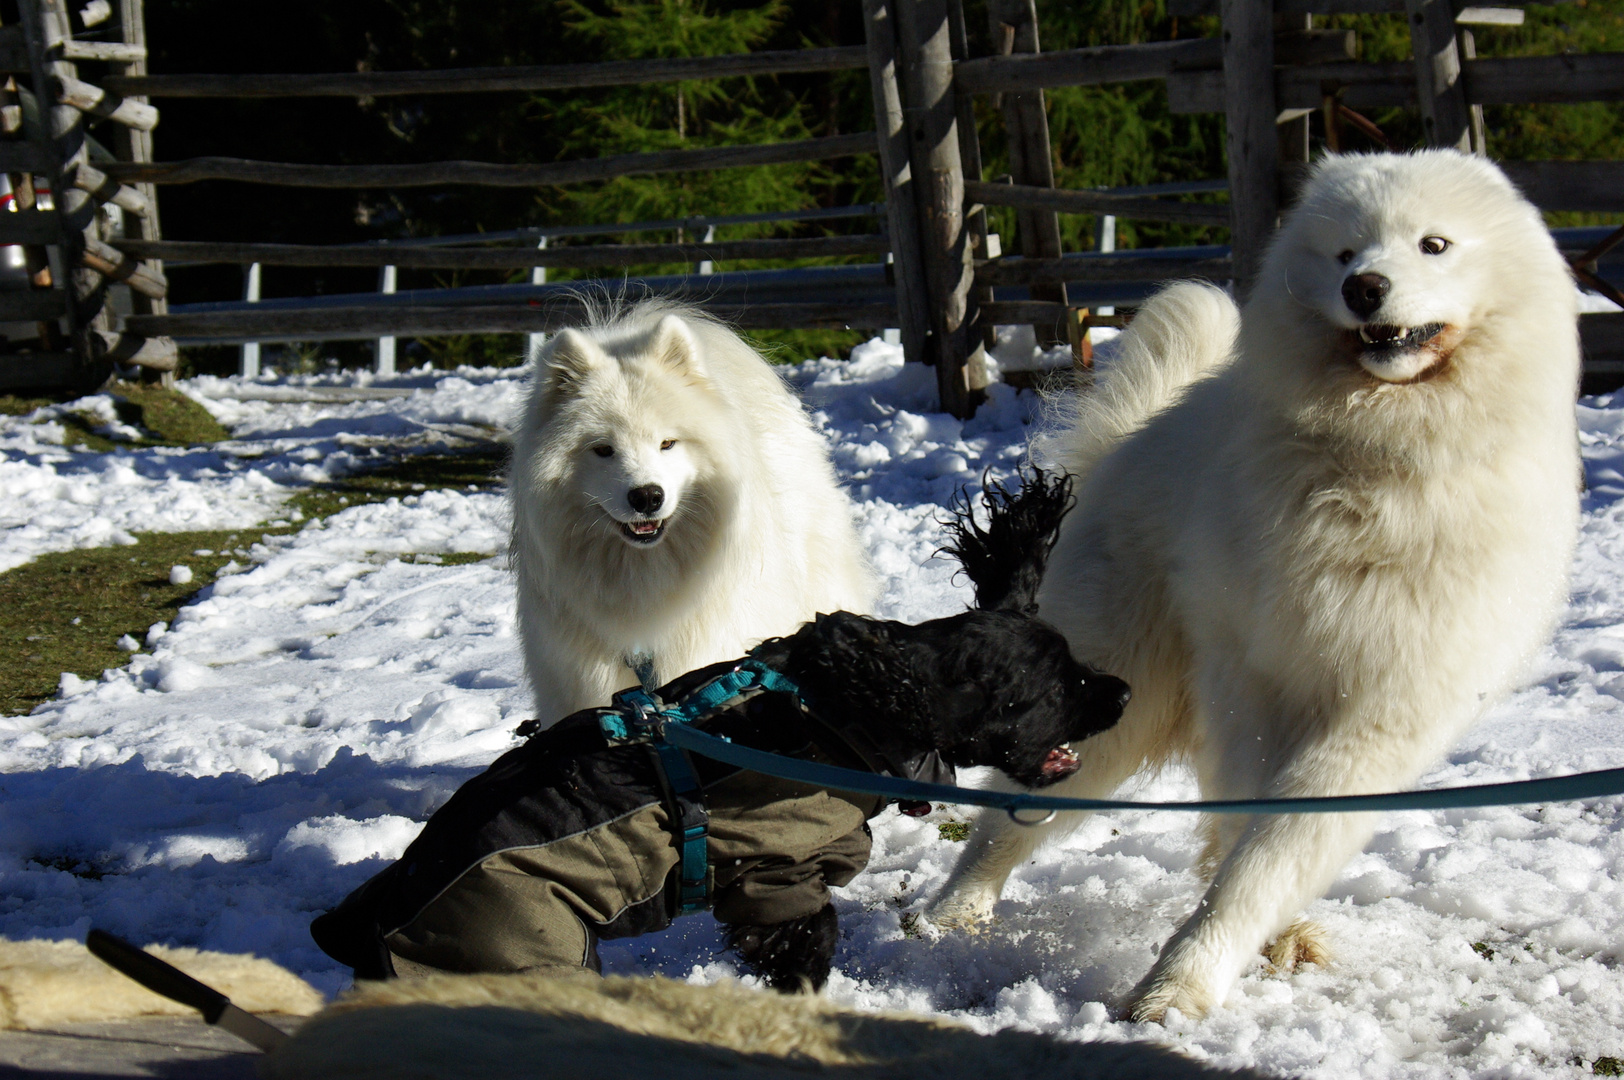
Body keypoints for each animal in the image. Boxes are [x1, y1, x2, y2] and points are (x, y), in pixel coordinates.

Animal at [310, 467, 1123, 987]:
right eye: (1059, 687)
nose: (1123, 690)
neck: (848, 708)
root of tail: (376, 913)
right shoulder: (778, 881)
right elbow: (804, 951)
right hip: (526, 952)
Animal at [935, 151, 1578, 1019]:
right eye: (1345, 253)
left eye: (1434, 244)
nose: (1366, 287)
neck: (1383, 462)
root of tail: (1131, 441)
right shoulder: (1256, 677)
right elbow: (1254, 837)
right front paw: (1182, 981)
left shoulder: (1385, 711)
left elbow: (1274, 844)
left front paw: (1197, 969)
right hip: (1117, 691)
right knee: (1011, 819)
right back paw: (947, 916)